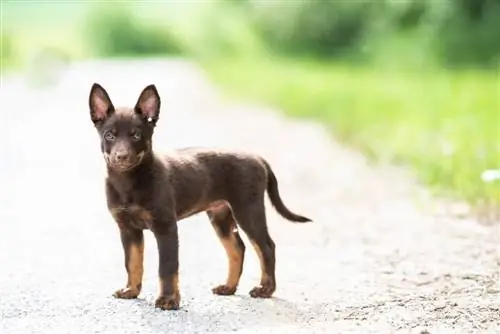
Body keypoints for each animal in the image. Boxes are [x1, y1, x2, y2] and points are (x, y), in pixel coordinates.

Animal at [88, 83, 310, 310]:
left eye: (136, 135)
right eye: (110, 135)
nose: (121, 157)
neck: (129, 182)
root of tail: (258, 158)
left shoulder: (165, 227)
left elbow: (167, 267)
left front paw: (168, 300)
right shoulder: (127, 228)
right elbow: (132, 263)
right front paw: (131, 290)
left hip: (248, 210)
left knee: (266, 247)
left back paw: (265, 289)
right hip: (221, 215)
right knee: (237, 248)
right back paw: (228, 287)